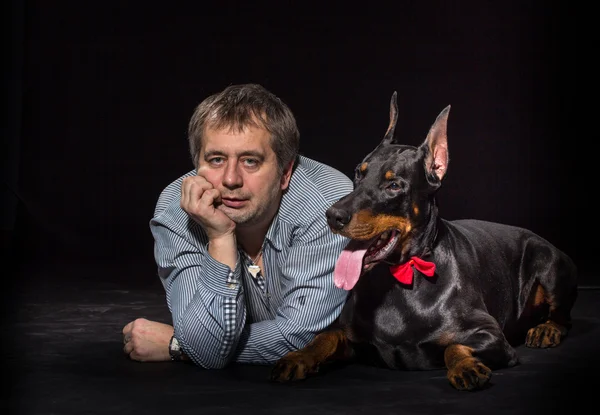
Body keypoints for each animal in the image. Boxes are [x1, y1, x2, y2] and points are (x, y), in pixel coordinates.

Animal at [270, 92, 580, 394]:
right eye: (359, 172)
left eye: (394, 185)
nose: (332, 215)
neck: (399, 276)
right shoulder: (353, 338)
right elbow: (326, 337)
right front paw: (297, 357)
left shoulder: (491, 335)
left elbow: (454, 346)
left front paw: (466, 367)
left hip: (549, 264)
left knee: (564, 318)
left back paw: (546, 329)